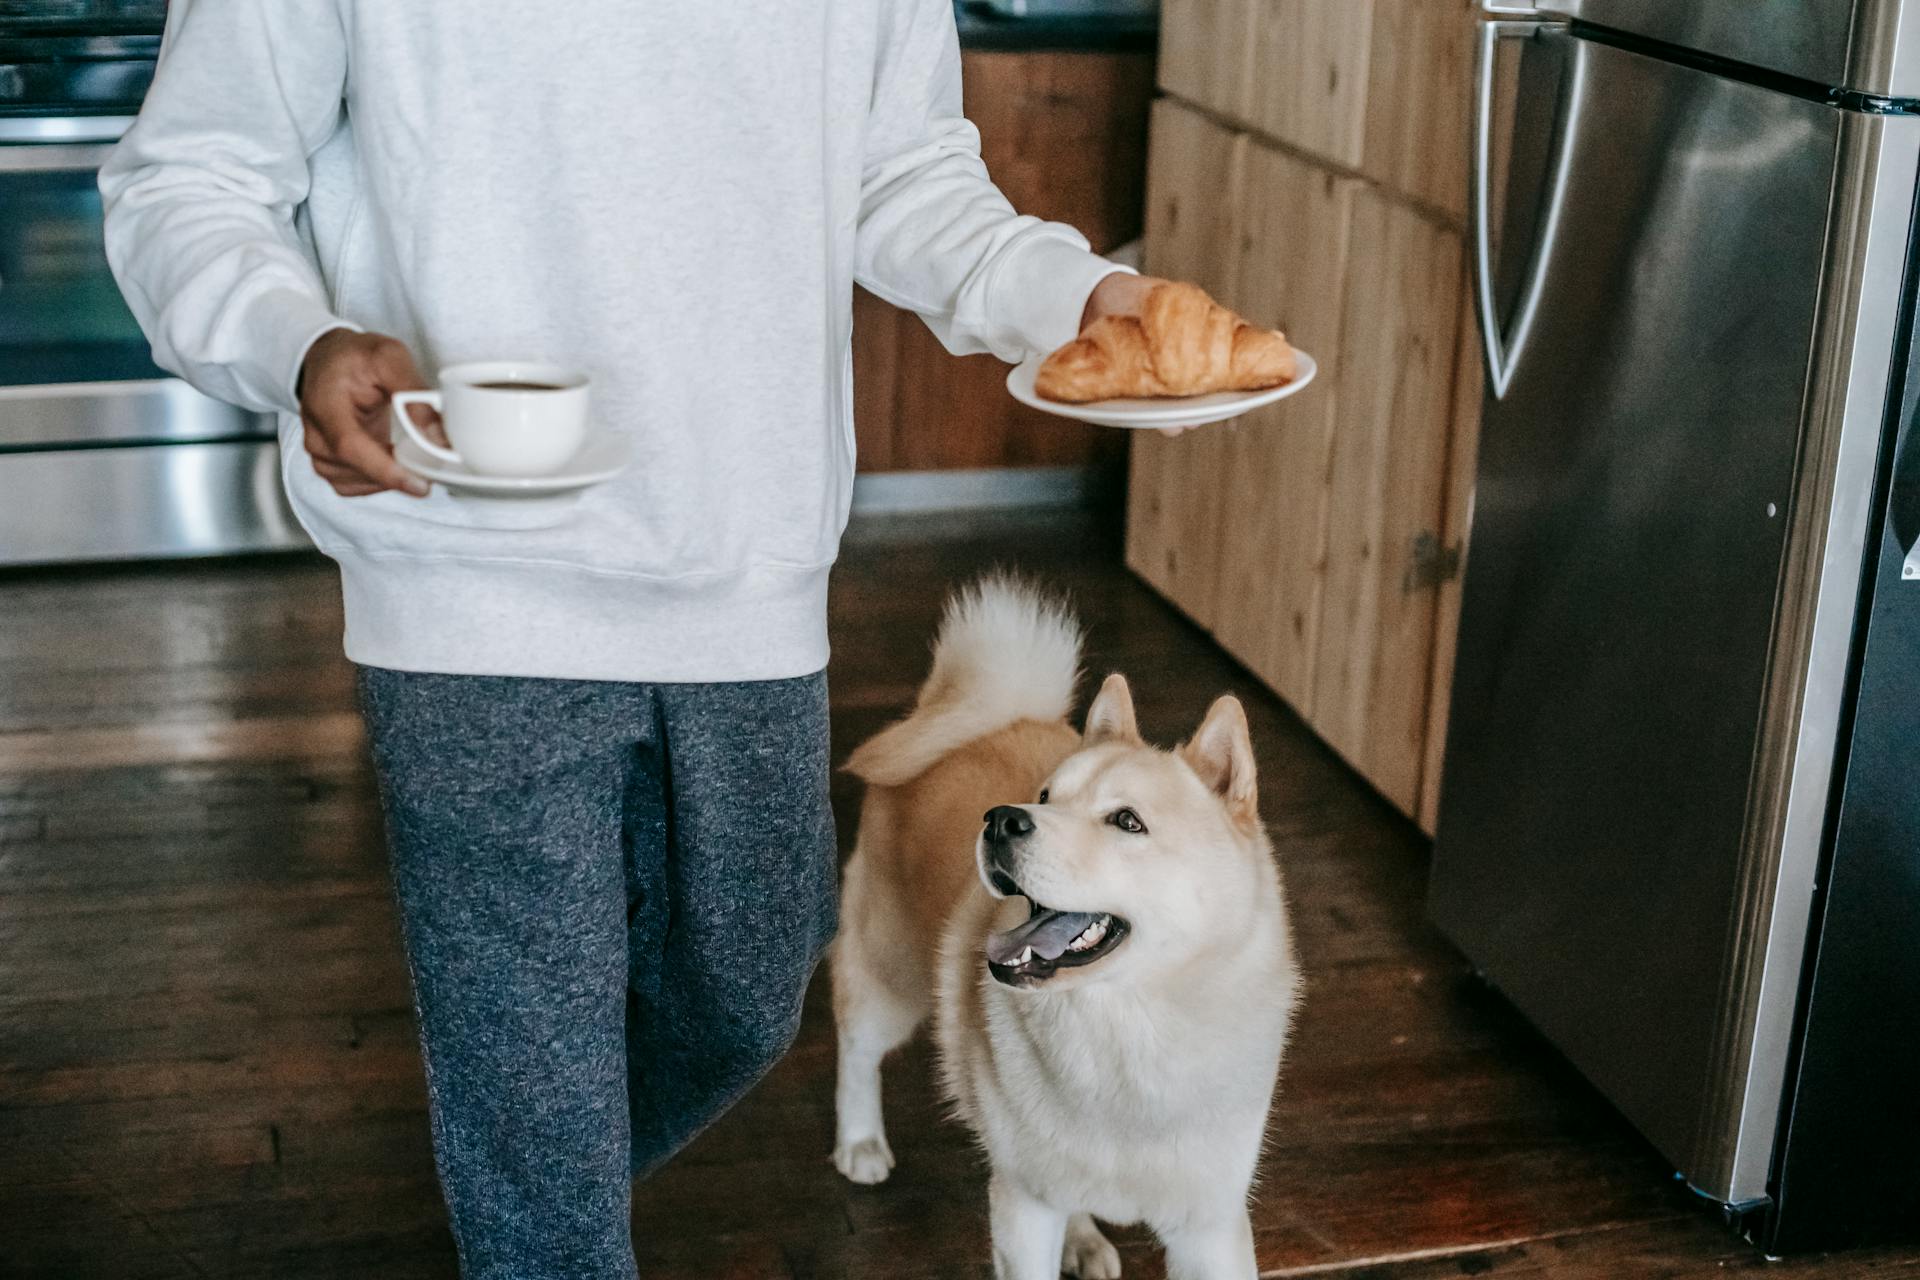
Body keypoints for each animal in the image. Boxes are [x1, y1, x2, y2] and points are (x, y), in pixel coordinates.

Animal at [833, 579, 1297, 1280]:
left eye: (1128, 821)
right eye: (1046, 798)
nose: (1001, 819)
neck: (1127, 1028)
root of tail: (989, 715)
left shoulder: (1210, 1226)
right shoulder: (1024, 1205)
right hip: (891, 973)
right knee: (858, 1047)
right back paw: (859, 1141)